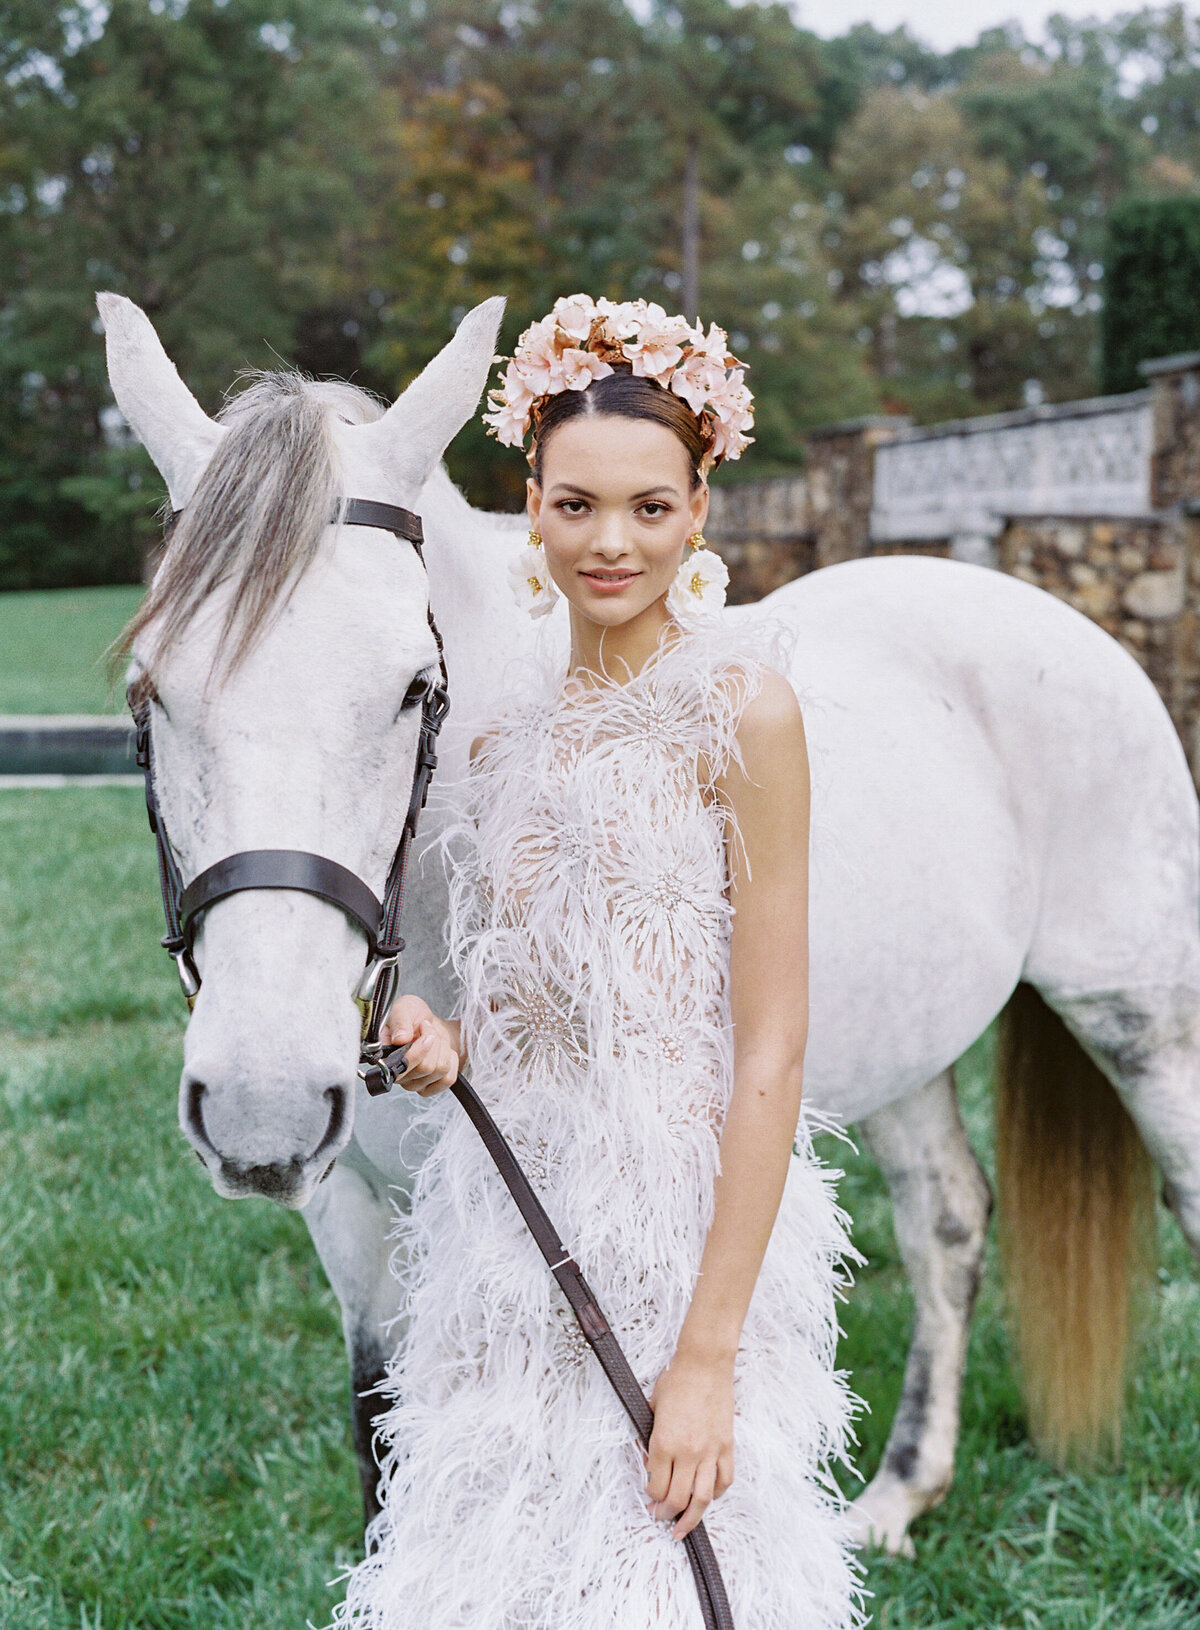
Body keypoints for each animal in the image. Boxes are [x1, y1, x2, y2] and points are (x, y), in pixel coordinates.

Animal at [98, 290, 1200, 1551]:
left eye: (415, 690)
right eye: (150, 691)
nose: (262, 1097)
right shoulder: (350, 1221)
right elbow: (382, 1441)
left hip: (1141, 1018)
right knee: (948, 1223)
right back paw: (898, 1493)